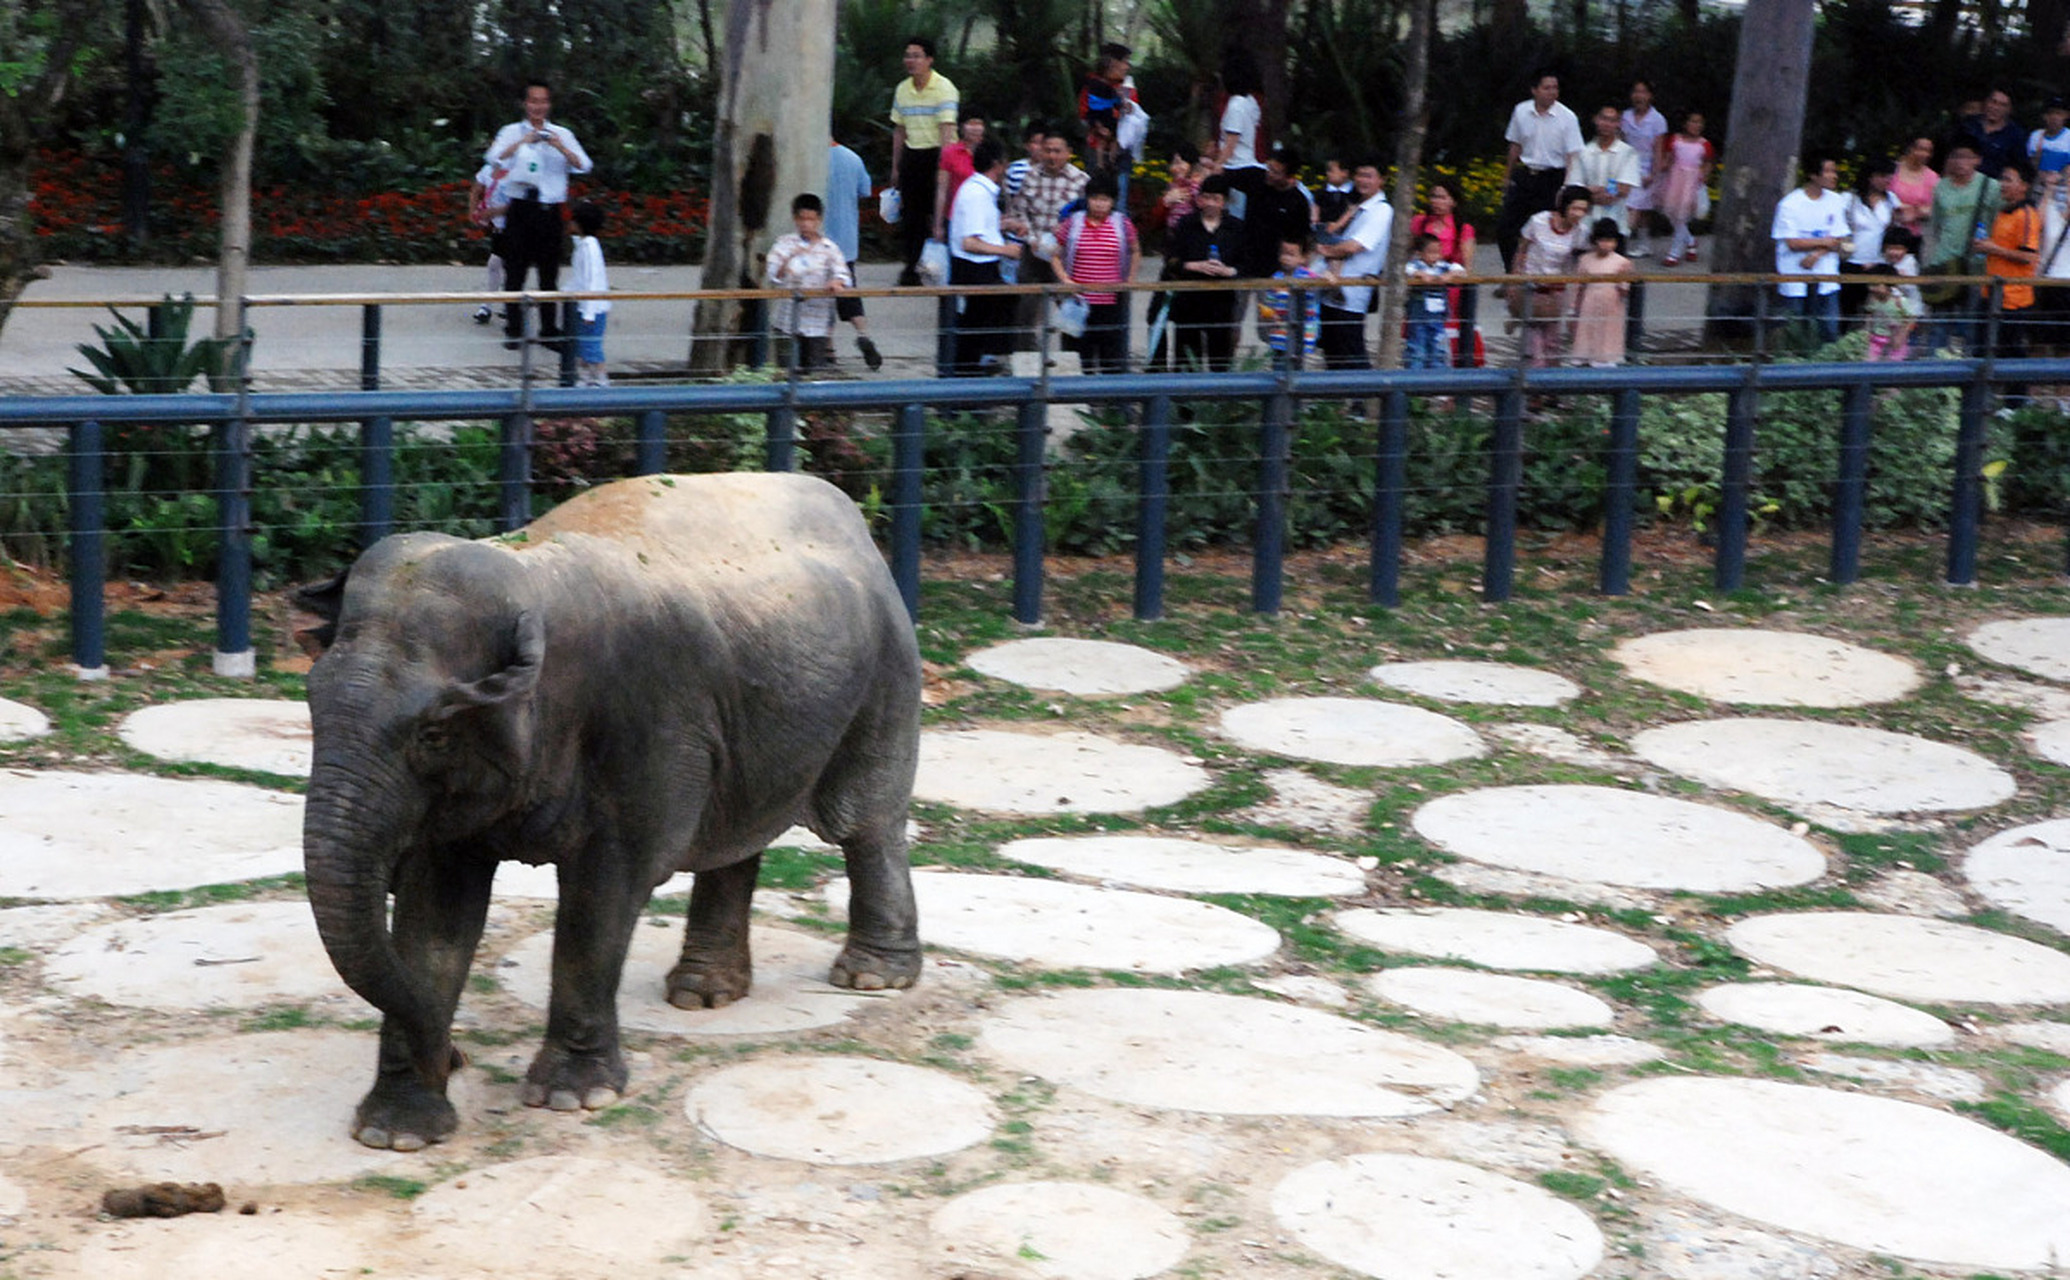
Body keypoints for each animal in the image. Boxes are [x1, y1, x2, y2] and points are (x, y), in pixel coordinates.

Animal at [298, 470, 923, 1143]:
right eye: (311, 706)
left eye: (433, 734)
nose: (455, 1055)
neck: (529, 575)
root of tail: (848, 512)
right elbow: (435, 910)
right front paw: (399, 1131)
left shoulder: (648, 723)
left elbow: (603, 895)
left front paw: (572, 1097)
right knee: (737, 837)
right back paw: (703, 994)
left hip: (889, 673)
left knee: (866, 822)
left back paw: (870, 977)